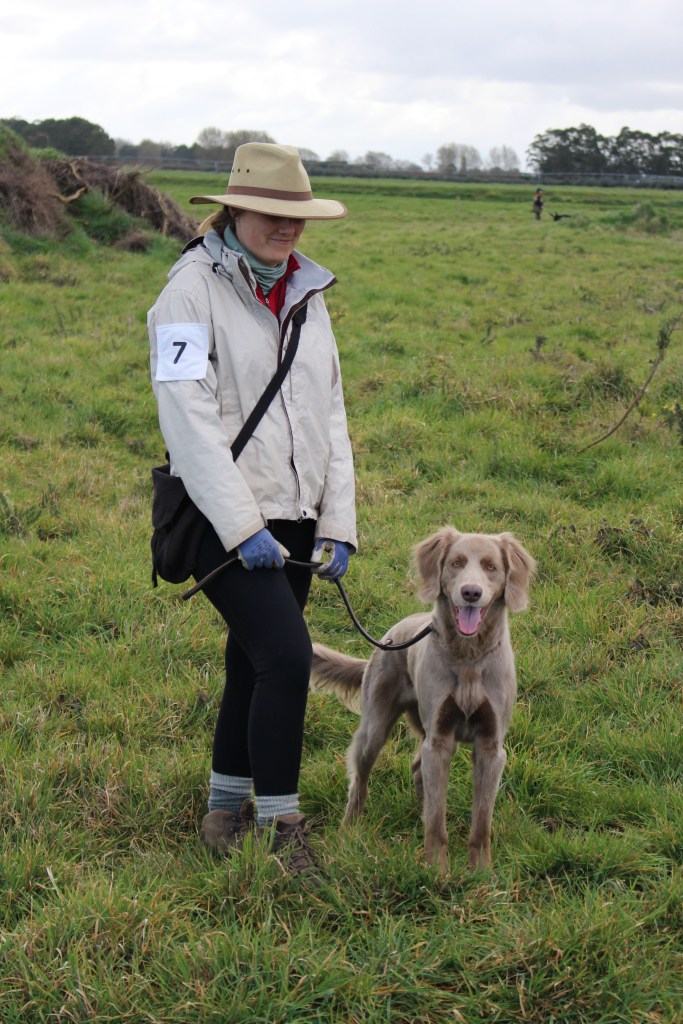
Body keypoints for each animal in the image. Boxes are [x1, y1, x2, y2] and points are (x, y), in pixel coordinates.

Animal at [311, 526, 536, 873]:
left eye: (490, 566)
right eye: (456, 562)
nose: (471, 593)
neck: (469, 658)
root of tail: (387, 639)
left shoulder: (491, 746)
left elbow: (481, 822)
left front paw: (481, 873)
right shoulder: (439, 740)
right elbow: (437, 819)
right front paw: (437, 871)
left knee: (418, 768)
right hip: (375, 727)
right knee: (360, 781)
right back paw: (349, 829)